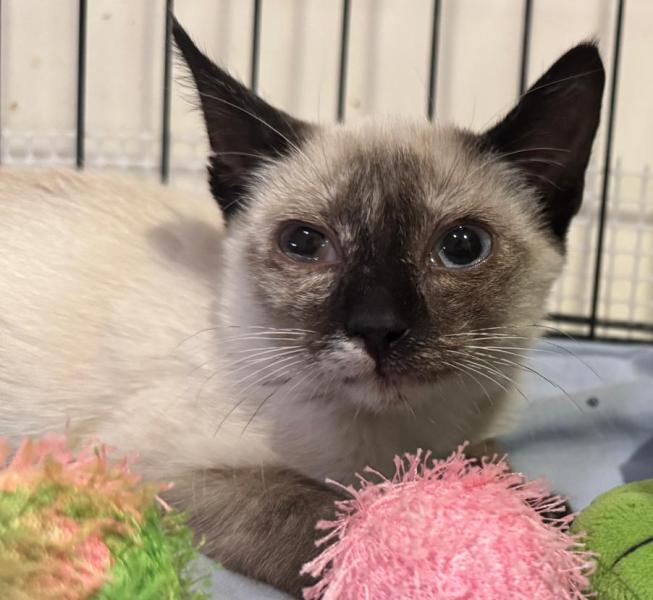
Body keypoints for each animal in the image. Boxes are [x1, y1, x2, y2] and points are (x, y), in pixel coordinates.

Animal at [0, 18, 604, 597]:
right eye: (305, 244)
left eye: (461, 247)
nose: (377, 328)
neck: (396, 441)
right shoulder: (157, 470)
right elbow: (328, 510)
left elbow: (487, 459)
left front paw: (543, 516)